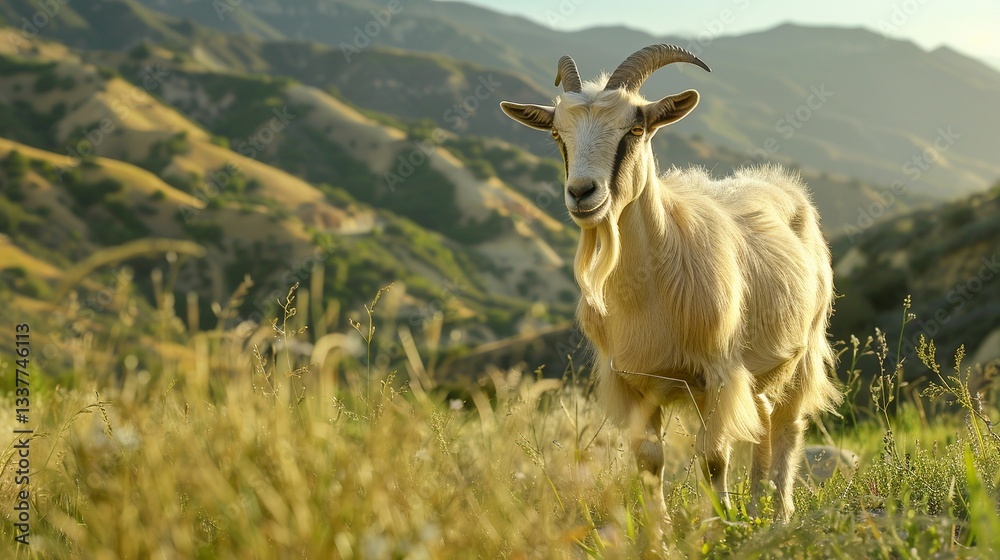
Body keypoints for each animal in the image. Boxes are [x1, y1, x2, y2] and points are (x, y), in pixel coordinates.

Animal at [500, 45, 842, 521]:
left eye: (635, 127)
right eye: (556, 133)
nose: (582, 193)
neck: (649, 293)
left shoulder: (716, 374)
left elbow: (713, 459)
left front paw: (719, 525)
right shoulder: (631, 384)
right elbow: (649, 462)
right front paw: (658, 531)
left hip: (804, 349)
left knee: (788, 424)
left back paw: (779, 514)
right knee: (761, 415)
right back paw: (758, 504)